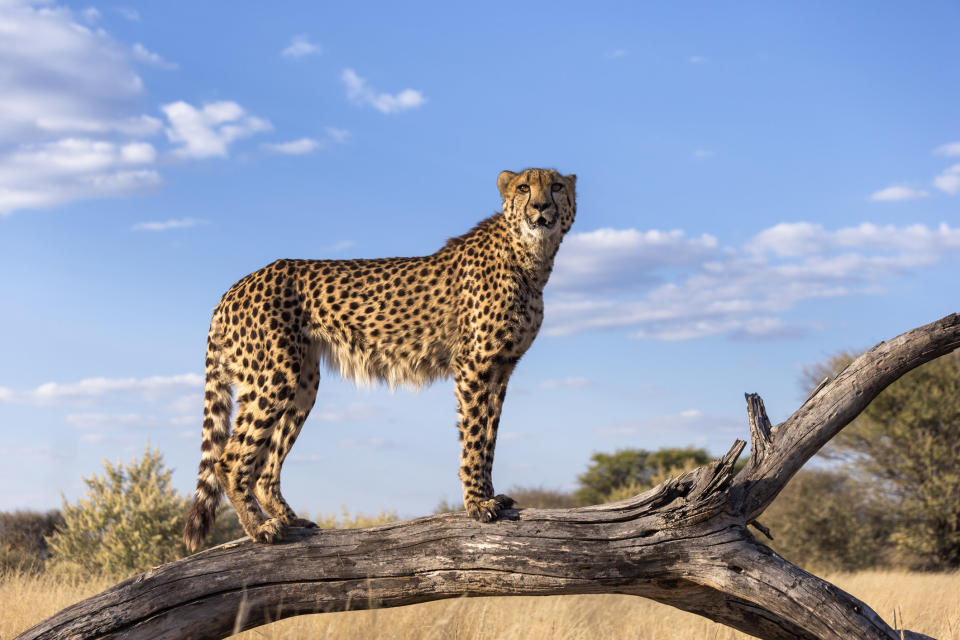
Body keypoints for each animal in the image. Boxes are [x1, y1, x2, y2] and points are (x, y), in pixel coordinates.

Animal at [187, 166, 576, 552]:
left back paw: (289, 519)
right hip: (274, 375)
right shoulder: (475, 365)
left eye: (556, 186)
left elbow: (490, 436)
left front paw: (490, 495)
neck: (530, 256)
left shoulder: (501, 367)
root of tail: (234, 288)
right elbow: (475, 436)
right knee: (229, 459)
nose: (541, 206)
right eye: (524, 187)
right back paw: (260, 528)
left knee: (266, 466)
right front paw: (478, 503)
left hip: (303, 382)